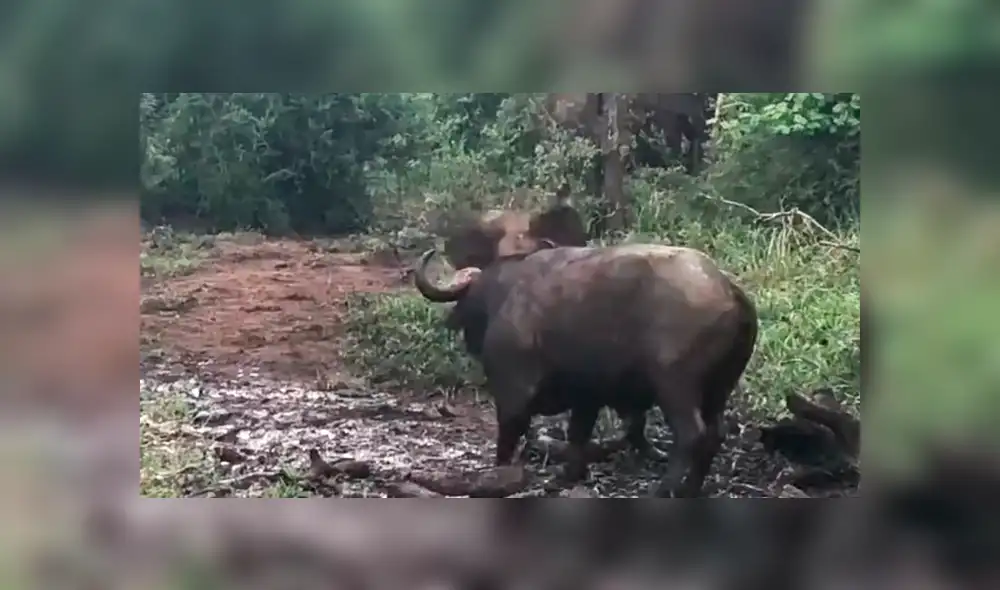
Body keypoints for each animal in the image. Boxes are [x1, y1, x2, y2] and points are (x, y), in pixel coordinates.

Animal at [414, 242, 758, 497]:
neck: (508, 295)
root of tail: (728, 290)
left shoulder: (512, 390)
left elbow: (509, 435)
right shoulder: (587, 395)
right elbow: (578, 433)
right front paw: (568, 475)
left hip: (675, 387)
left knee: (691, 434)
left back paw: (665, 489)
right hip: (718, 390)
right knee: (714, 434)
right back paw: (691, 489)